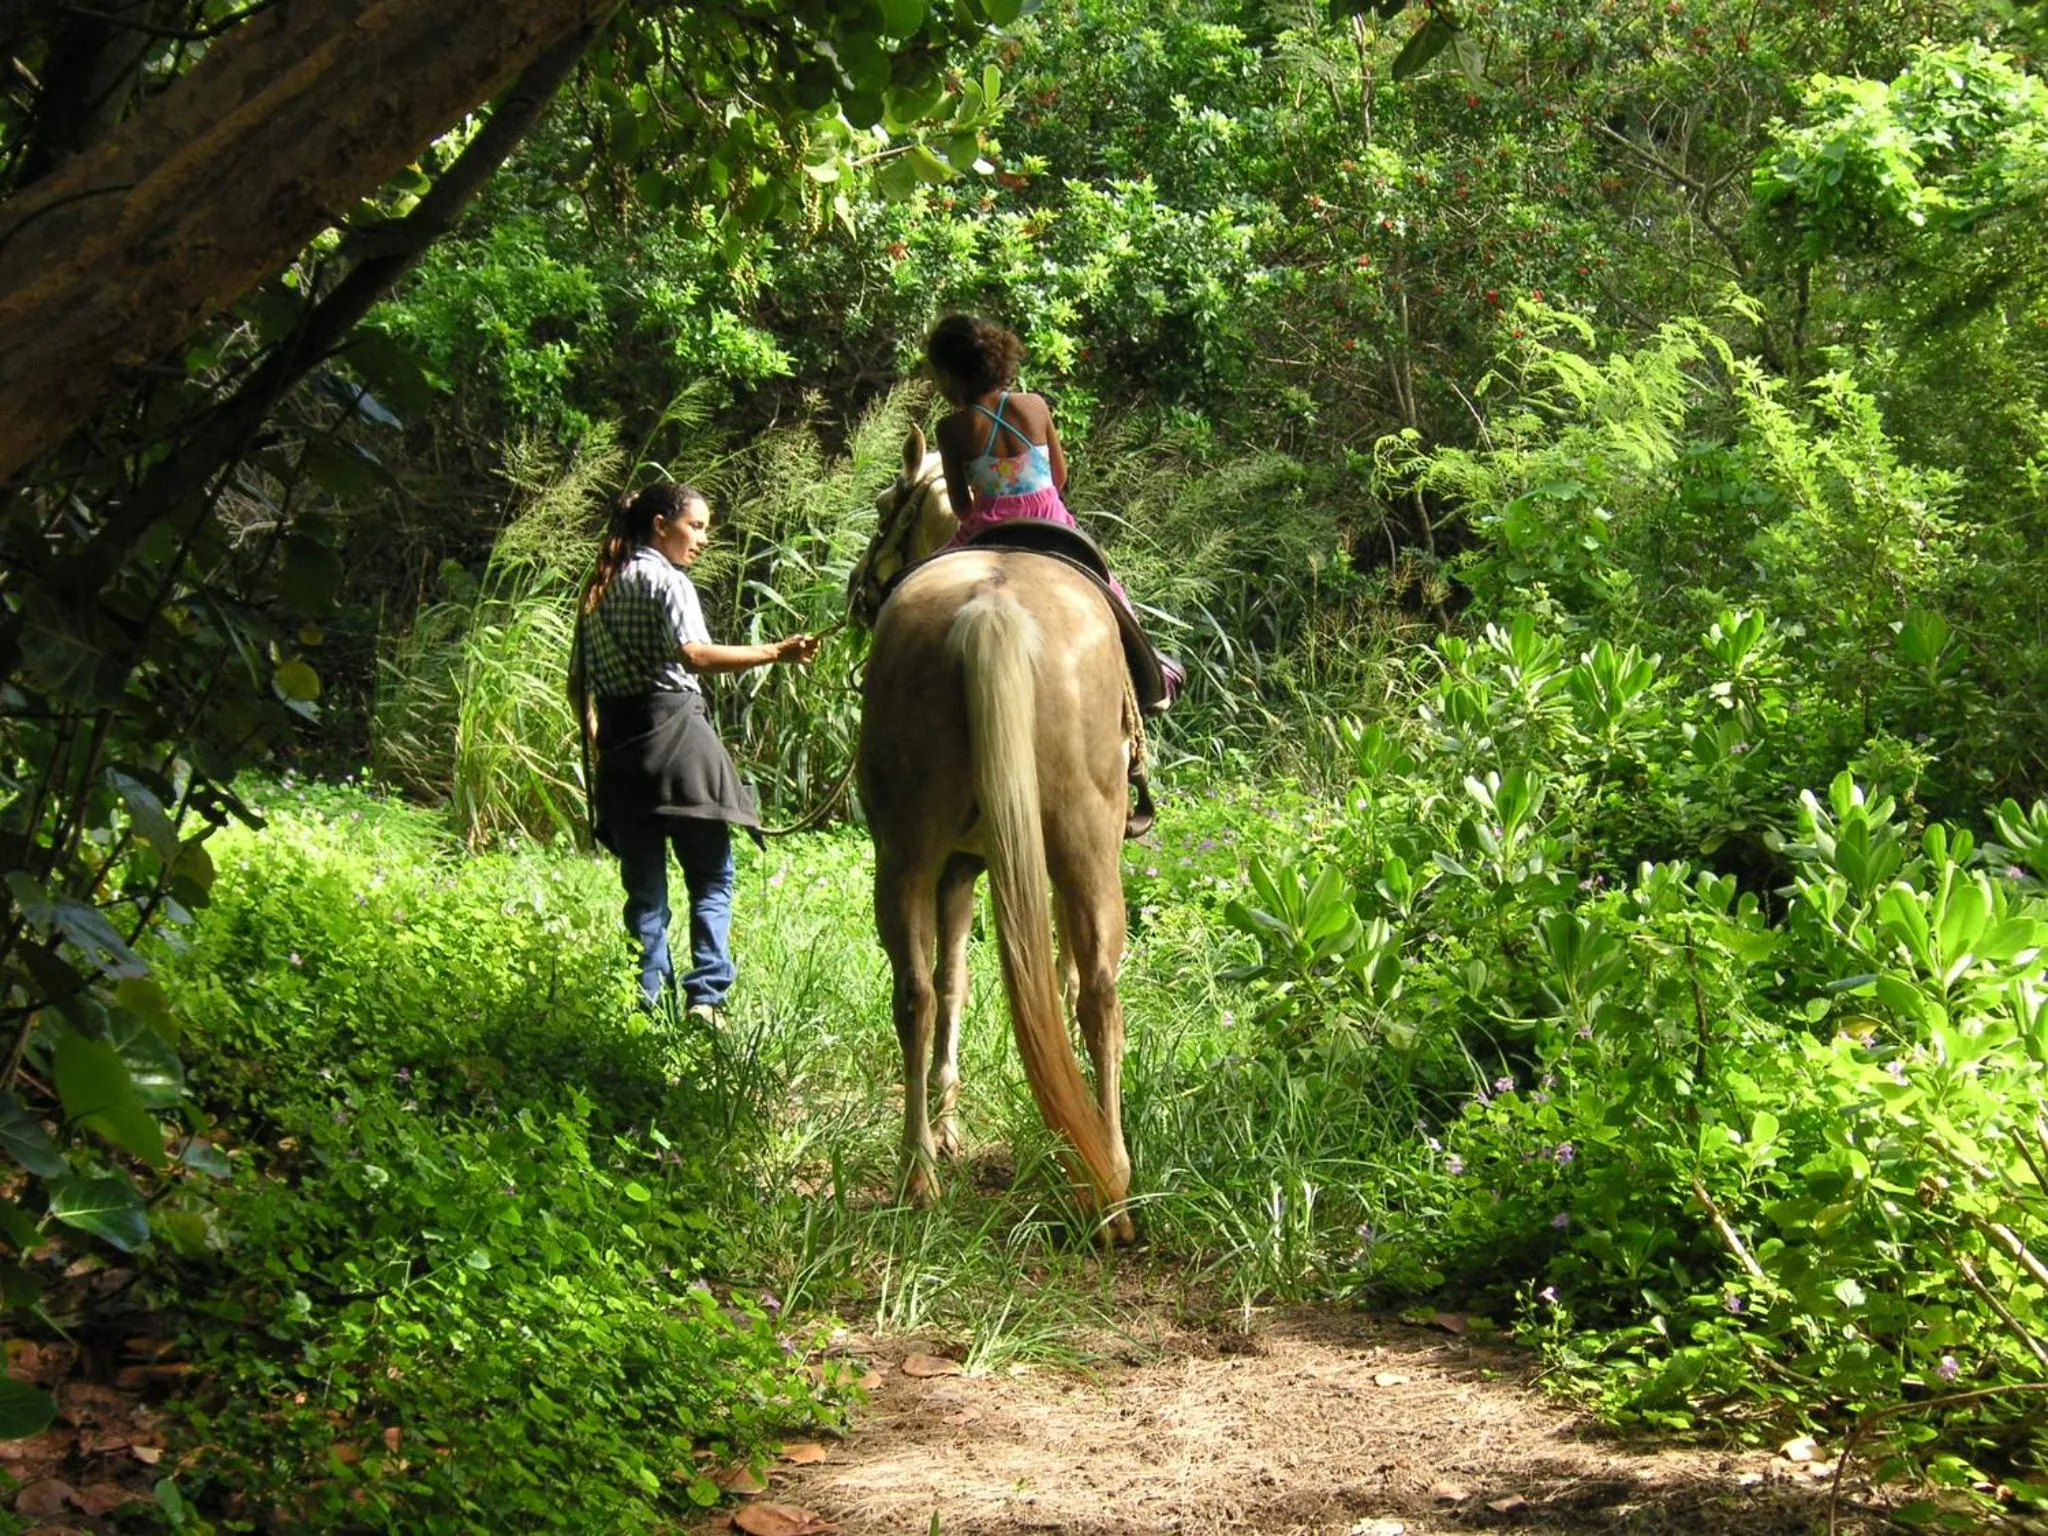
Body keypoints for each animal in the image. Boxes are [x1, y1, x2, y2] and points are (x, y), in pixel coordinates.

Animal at [853, 428, 1137, 1241]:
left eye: (884, 504)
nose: (857, 590)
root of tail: (992, 606)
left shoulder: (955, 867)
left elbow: (953, 981)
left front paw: (948, 1129)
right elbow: (1049, 974)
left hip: (907, 854)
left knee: (915, 993)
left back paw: (920, 1172)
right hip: (1083, 848)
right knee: (1098, 995)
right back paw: (1111, 1181)